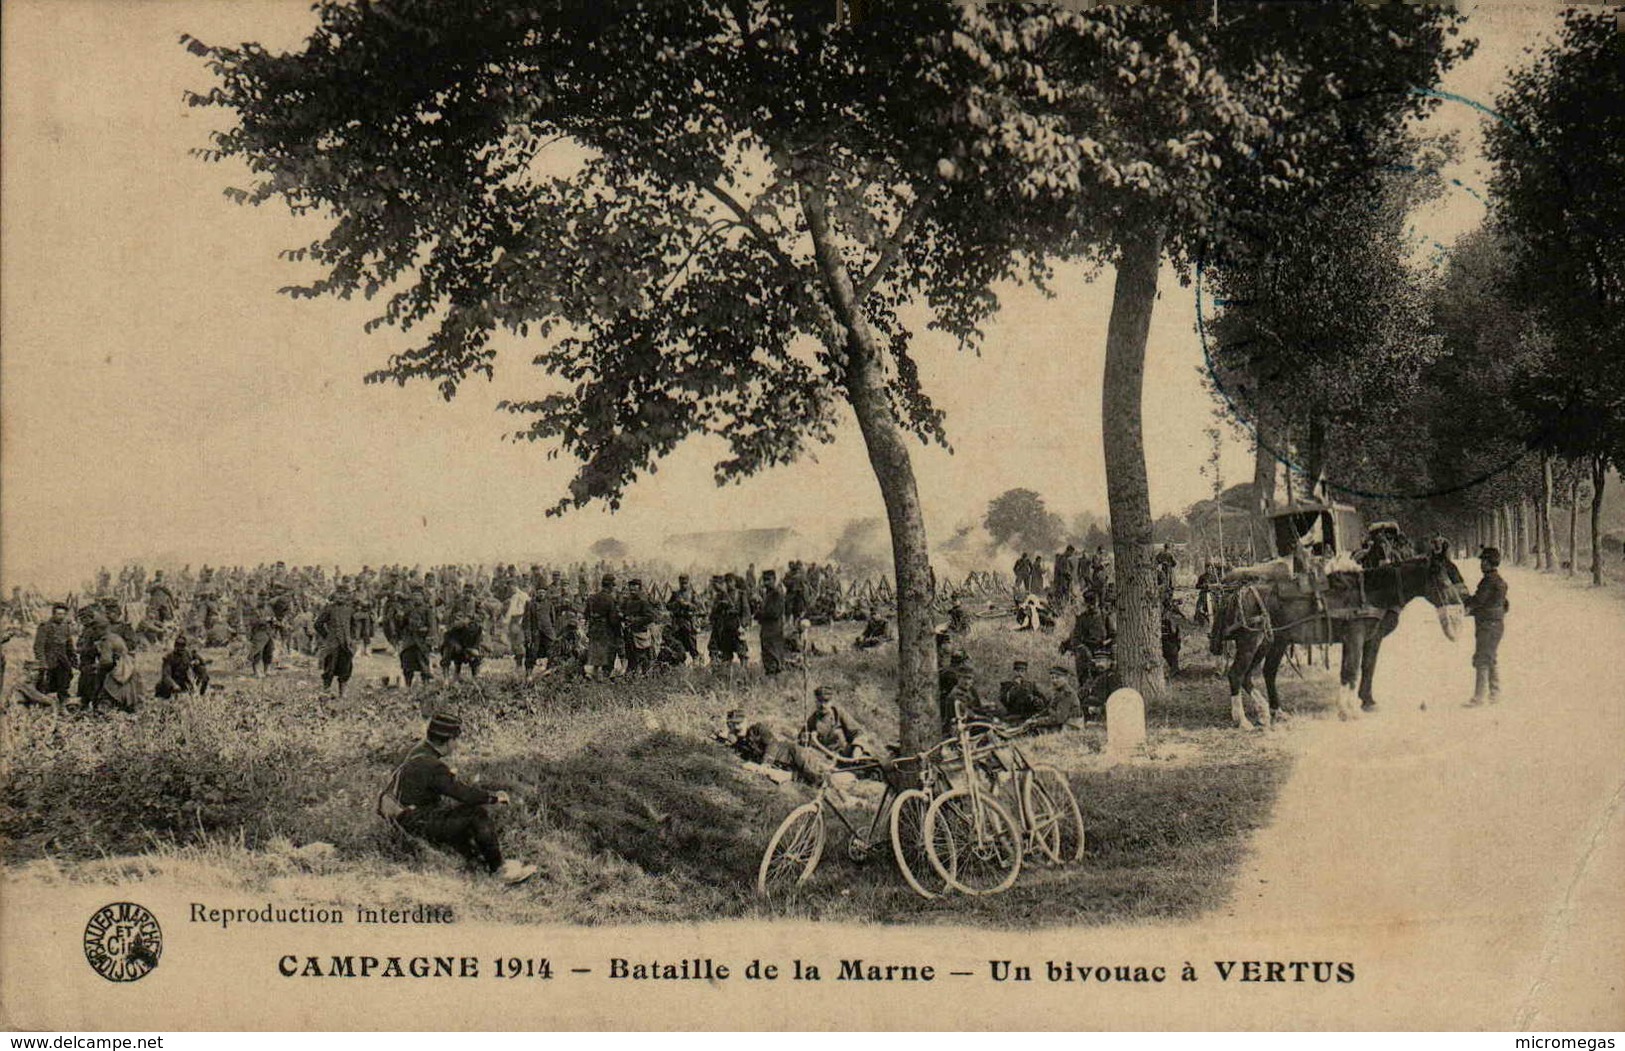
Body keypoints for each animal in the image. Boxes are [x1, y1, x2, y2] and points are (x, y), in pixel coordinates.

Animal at [1209, 552, 1462, 730]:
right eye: (1443, 580)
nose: (1461, 602)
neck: (1369, 593)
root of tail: (1239, 591)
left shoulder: (1359, 640)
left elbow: (1355, 671)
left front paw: (1355, 705)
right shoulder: (1356, 637)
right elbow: (1352, 671)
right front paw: (1349, 711)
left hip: (1272, 641)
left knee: (1259, 673)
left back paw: (1272, 712)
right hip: (1252, 641)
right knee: (1236, 674)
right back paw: (1242, 720)